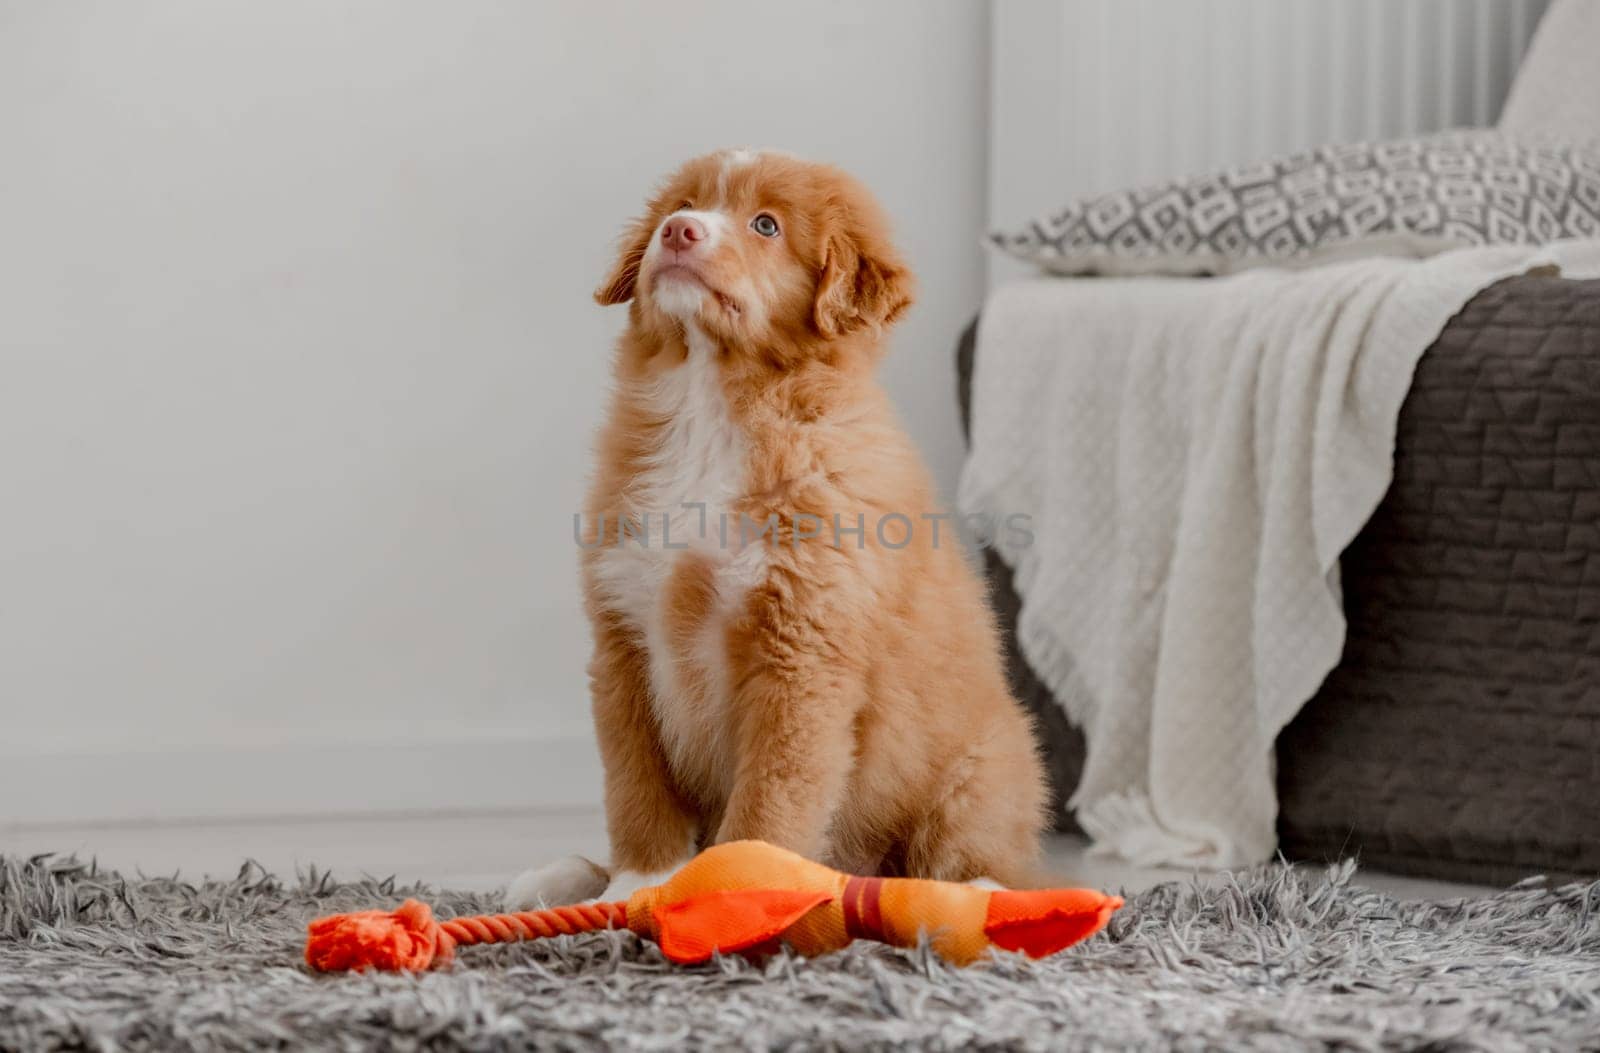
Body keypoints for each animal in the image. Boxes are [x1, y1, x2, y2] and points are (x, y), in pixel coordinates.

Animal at [505, 149, 1043, 908]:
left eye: (766, 225)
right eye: (684, 203)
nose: (677, 231)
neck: (710, 408)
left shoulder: (801, 652)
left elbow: (768, 802)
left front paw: (726, 894)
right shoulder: (622, 640)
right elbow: (636, 787)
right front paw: (637, 887)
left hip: (982, 770)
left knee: (982, 858)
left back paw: (975, 892)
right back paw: (562, 877)